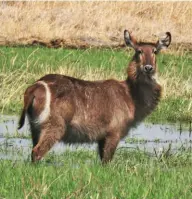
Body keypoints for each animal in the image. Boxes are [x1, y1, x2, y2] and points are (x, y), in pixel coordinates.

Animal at [18, 29, 171, 163]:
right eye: (139, 51)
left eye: (155, 51)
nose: (148, 67)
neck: (131, 96)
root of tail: (35, 87)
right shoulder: (114, 132)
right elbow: (107, 161)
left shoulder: (102, 137)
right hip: (54, 126)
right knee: (37, 152)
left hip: (35, 127)